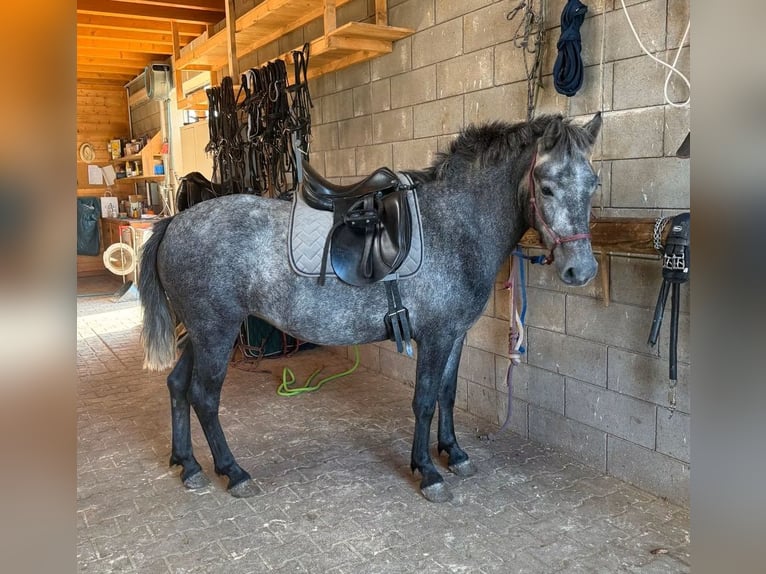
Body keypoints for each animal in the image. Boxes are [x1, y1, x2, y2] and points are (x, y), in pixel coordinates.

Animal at [139, 113, 602, 503]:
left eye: (593, 183)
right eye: (546, 186)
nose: (580, 270)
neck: (453, 226)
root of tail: (174, 223)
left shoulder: (455, 336)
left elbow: (448, 394)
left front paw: (454, 453)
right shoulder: (435, 337)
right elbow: (425, 400)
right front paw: (428, 472)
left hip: (200, 335)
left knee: (177, 386)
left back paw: (189, 465)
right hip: (216, 333)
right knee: (204, 397)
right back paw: (233, 473)